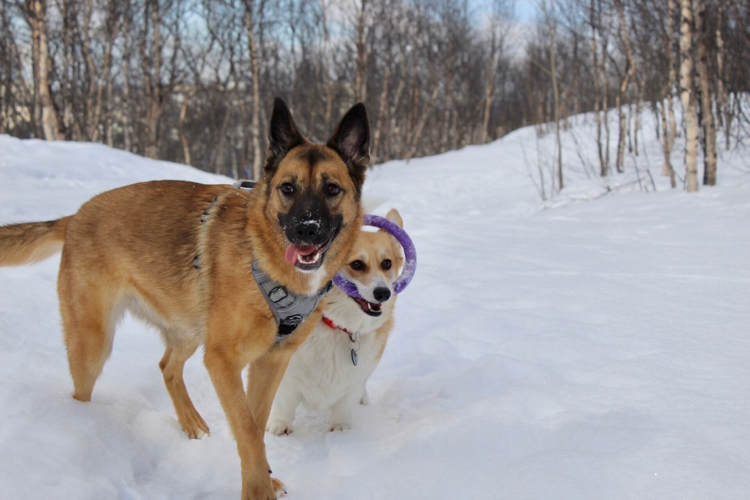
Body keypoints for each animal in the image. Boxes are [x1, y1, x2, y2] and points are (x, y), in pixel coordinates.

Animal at [0, 98, 374, 500]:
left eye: (332, 189)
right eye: (287, 188)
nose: (306, 230)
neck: (265, 260)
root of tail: (75, 216)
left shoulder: (271, 361)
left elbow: (256, 425)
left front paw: (262, 476)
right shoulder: (222, 361)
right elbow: (247, 429)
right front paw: (257, 488)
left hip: (189, 332)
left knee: (167, 366)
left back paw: (191, 422)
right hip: (93, 344)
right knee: (86, 388)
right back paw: (84, 426)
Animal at [268, 207, 406, 434]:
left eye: (387, 263)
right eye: (357, 264)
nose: (383, 293)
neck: (340, 326)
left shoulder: (354, 381)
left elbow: (344, 406)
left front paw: (340, 430)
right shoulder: (286, 373)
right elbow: (284, 401)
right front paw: (279, 426)